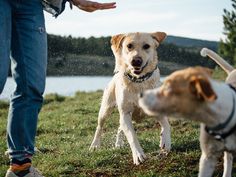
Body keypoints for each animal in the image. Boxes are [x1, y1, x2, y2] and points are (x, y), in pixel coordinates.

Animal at [89, 31, 171, 165]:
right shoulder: (125, 113)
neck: (139, 82)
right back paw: (95, 145)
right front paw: (138, 154)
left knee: (119, 127)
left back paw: (119, 143)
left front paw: (166, 141)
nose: (136, 61)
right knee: (100, 127)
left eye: (146, 46)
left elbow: (166, 124)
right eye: (129, 46)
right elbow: (132, 136)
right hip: (106, 109)